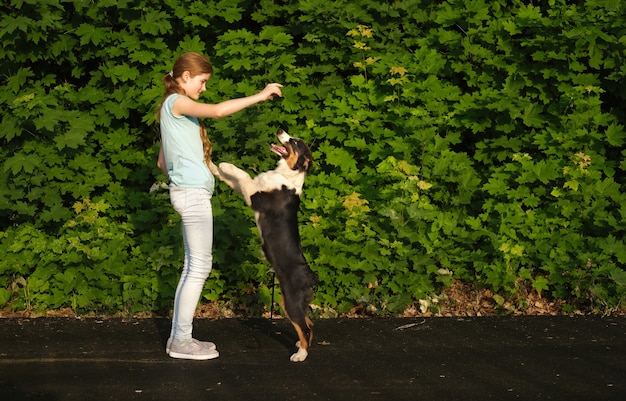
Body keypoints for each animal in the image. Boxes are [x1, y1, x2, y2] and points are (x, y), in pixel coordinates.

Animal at [210, 129, 316, 362]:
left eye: (295, 142)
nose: (280, 130)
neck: (286, 175)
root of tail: (311, 277)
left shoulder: (254, 196)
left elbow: (241, 174)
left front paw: (225, 164)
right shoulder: (249, 191)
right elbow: (231, 179)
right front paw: (214, 166)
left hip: (291, 303)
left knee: (304, 326)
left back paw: (300, 355)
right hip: (289, 302)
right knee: (310, 323)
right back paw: (300, 345)